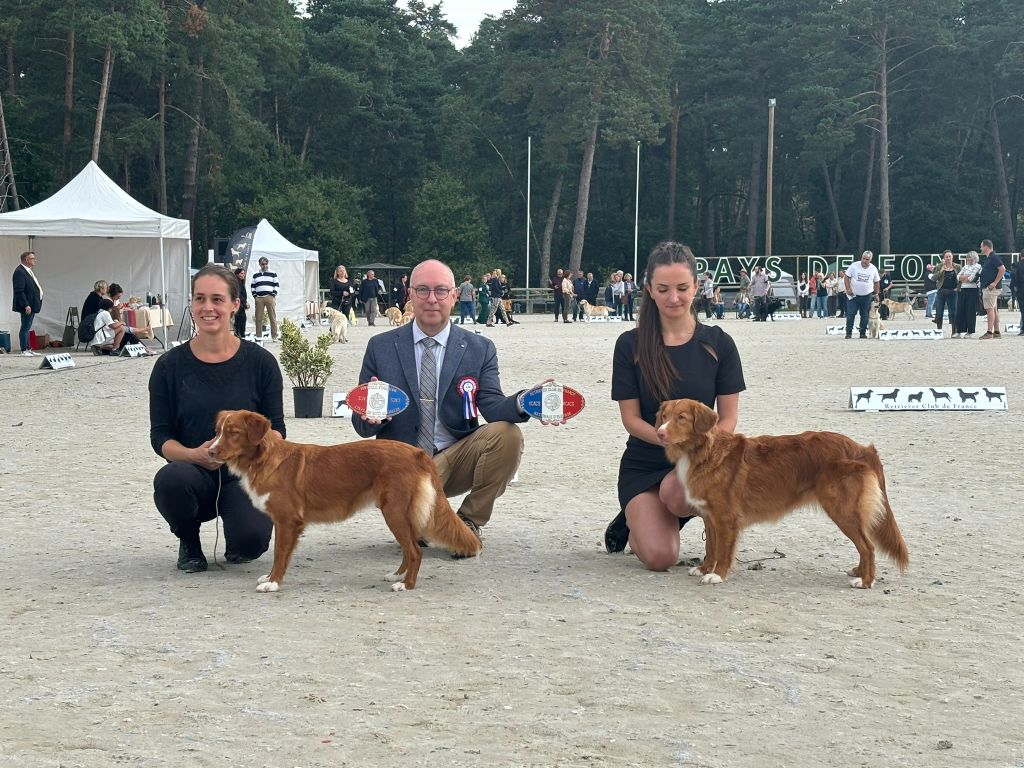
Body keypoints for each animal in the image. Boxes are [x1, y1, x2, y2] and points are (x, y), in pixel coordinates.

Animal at [209, 411, 481, 593]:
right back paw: (396, 575)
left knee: (414, 550)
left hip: (394, 511)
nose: (210, 451)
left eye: (233, 433)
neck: (263, 460)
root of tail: (417, 452)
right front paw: (269, 578)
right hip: (399, 513)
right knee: (409, 547)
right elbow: (279, 554)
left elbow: (280, 554)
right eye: (217, 432)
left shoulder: (288, 521)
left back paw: (406, 584)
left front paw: (273, 583)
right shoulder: (282, 521)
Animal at [651, 399, 909, 585]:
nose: (660, 433)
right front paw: (704, 568)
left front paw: (717, 575)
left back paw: (865, 581)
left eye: (681, 418)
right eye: (664, 416)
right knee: (864, 546)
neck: (703, 452)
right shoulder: (710, 516)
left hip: (842, 510)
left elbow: (723, 550)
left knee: (868, 546)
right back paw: (859, 571)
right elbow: (711, 547)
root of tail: (862, 449)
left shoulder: (725, 519)